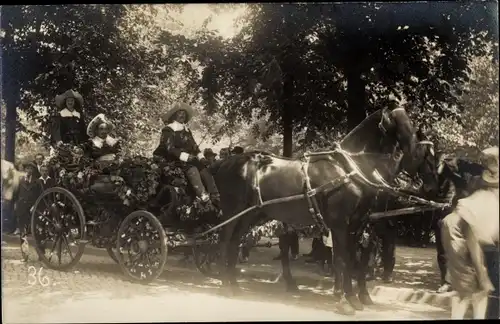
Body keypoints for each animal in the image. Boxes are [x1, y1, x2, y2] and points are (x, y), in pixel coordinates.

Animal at [212, 106, 422, 314]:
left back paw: (234, 284)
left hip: (250, 215)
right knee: (224, 241)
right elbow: (341, 260)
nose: (414, 155)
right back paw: (225, 285)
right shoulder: (340, 224)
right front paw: (343, 301)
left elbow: (350, 259)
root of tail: (225, 163)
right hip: (233, 211)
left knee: (235, 242)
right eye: (398, 121)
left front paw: (353, 298)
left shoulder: (355, 225)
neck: (346, 169)